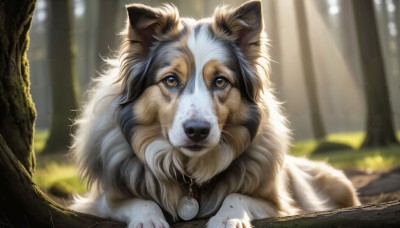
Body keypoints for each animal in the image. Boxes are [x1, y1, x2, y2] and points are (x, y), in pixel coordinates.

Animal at [70, 0, 360, 227]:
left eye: (220, 81)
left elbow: (237, 196)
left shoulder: (278, 203)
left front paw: (228, 218)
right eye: (171, 80)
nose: (197, 131)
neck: (189, 172)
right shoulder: (99, 201)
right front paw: (148, 218)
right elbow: (136, 199)